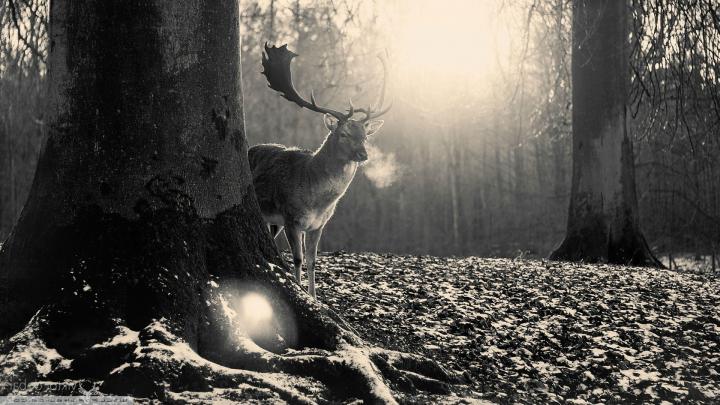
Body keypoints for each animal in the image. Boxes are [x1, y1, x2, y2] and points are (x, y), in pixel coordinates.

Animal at [248, 43, 391, 299]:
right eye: (343, 134)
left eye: (365, 136)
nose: (363, 155)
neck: (316, 200)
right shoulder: (291, 217)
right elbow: (297, 258)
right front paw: (300, 290)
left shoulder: (319, 224)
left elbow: (312, 260)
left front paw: (315, 297)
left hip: (273, 221)